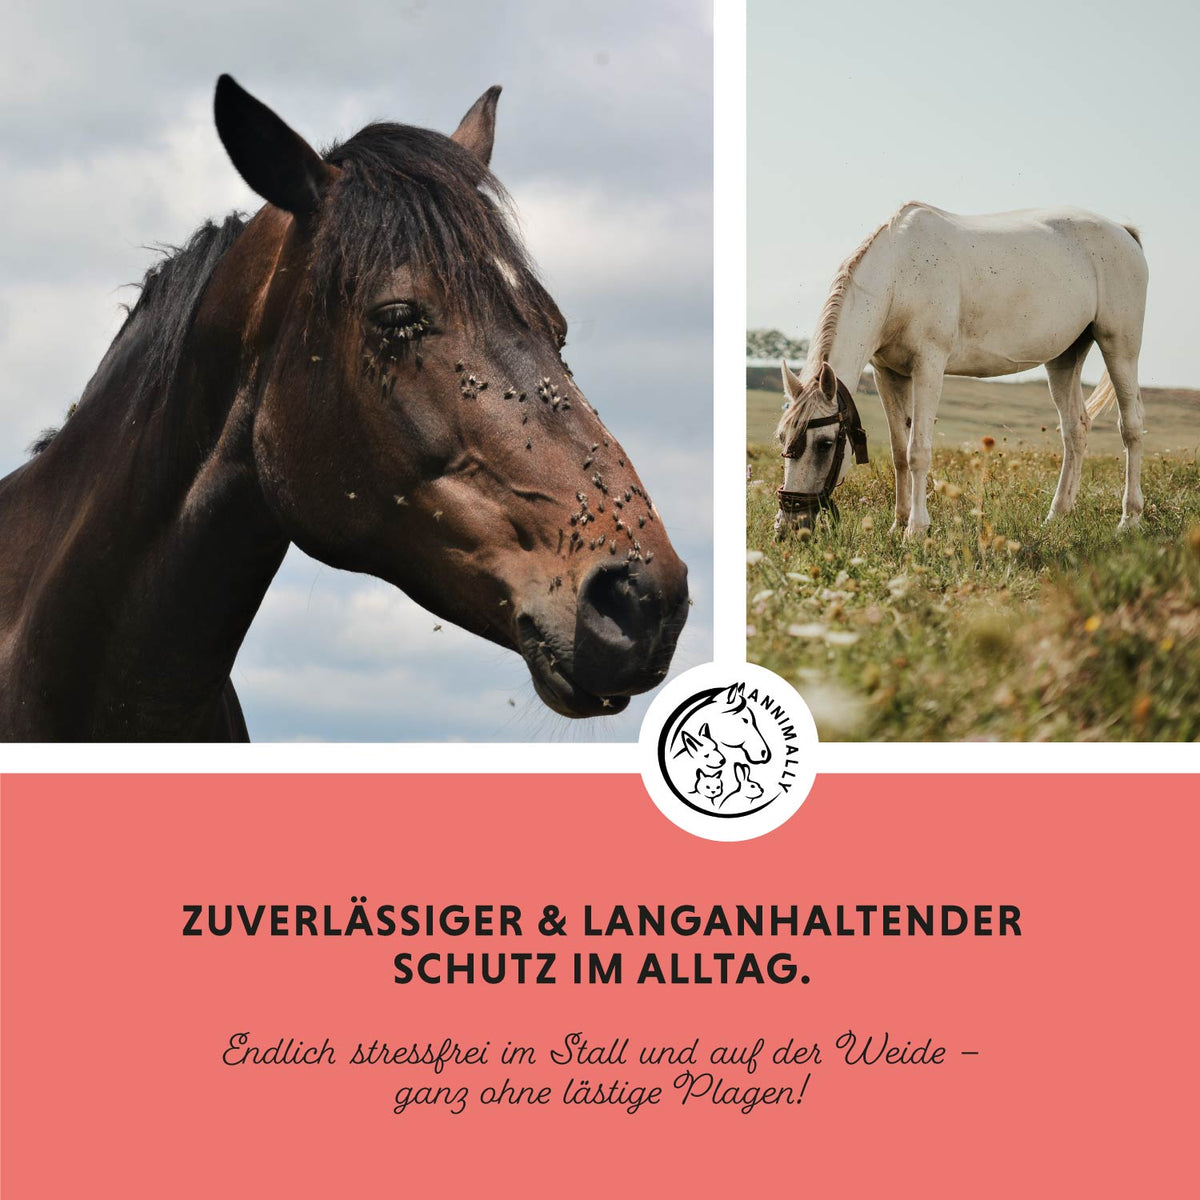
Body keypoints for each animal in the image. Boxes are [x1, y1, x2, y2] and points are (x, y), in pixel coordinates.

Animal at [774, 202, 1149, 537]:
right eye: (781, 437)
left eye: (824, 444)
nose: (789, 526)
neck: (899, 277)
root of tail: (1123, 232)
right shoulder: (888, 374)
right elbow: (898, 453)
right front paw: (898, 523)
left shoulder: (928, 366)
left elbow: (917, 451)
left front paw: (916, 529)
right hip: (1064, 357)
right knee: (1075, 430)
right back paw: (1057, 515)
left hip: (1119, 346)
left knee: (1130, 428)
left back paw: (1129, 520)